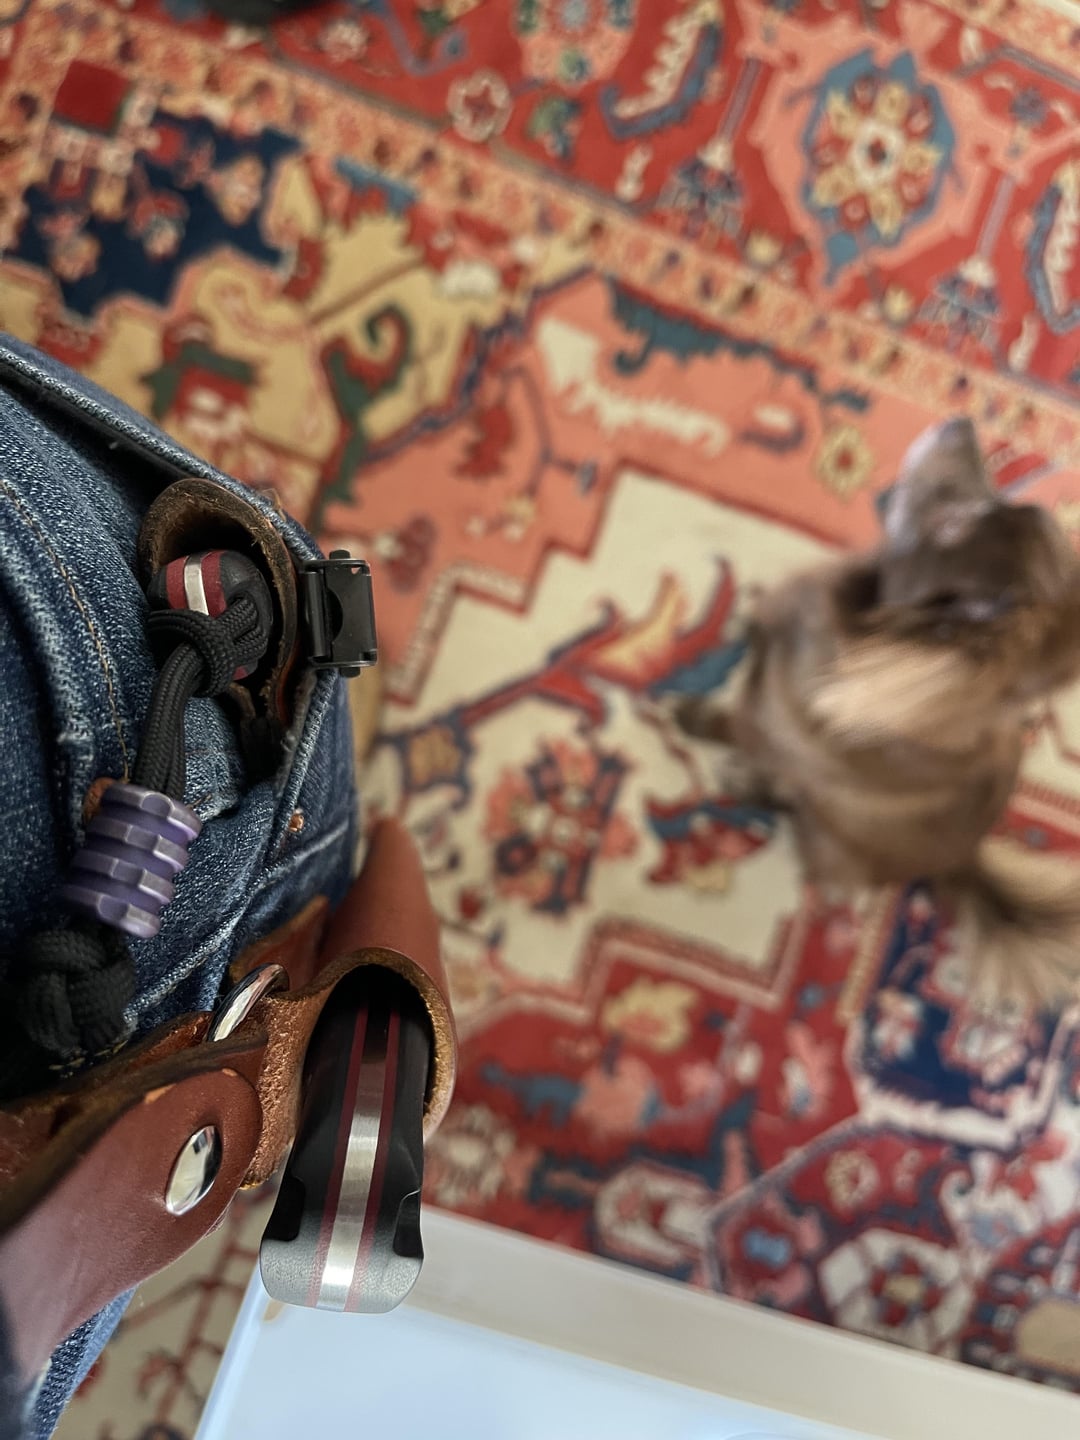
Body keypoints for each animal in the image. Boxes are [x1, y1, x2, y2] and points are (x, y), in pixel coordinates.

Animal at [674, 418, 1080, 1004]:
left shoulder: (760, 727)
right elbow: (757, 630)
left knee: (791, 809)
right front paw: (743, 622)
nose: (960, 423)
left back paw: (747, 784)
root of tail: (961, 863)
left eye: (953, 525)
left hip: (822, 838)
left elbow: (726, 723)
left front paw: (686, 713)